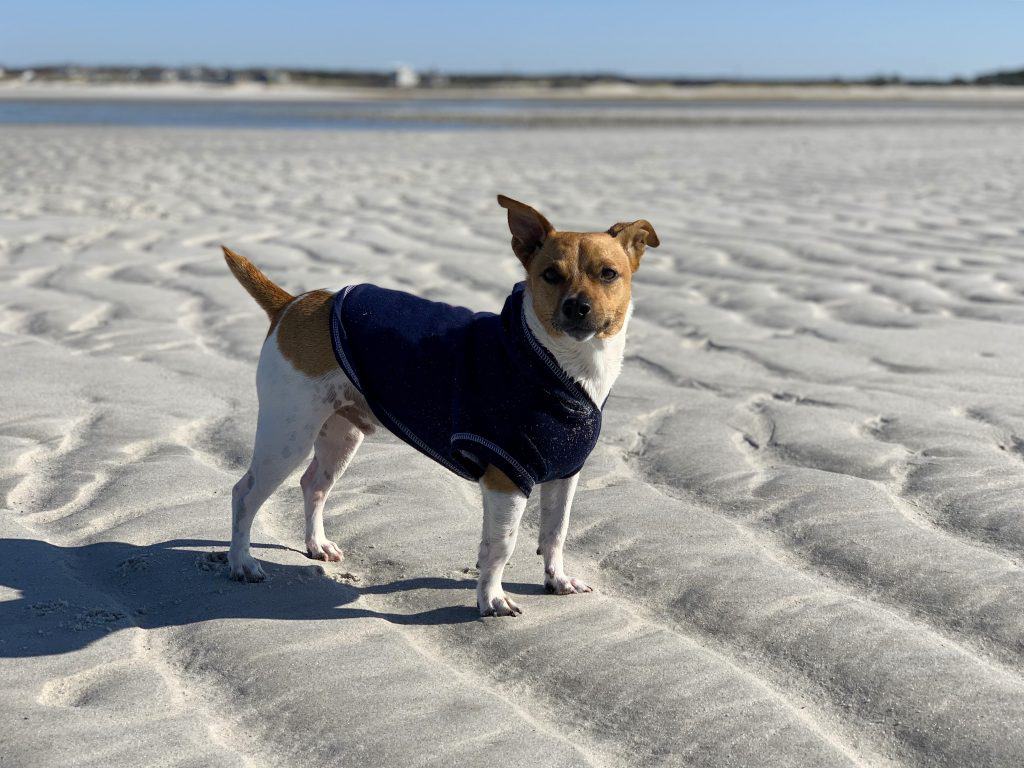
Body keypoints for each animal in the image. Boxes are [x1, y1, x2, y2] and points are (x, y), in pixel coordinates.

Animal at [221, 195, 659, 618]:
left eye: (608, 274)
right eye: (551, 275)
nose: (577, 307)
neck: (561, 368)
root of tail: (294, 302)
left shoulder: (565, 474)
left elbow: (555, 533)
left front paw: (557, 580)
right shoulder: (506, 479)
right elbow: (501, 546)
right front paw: (492, 600)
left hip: (339, 436)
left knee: (312, 485)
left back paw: (316, 545)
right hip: (287, 436)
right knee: (244, 493)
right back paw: (242, 562)